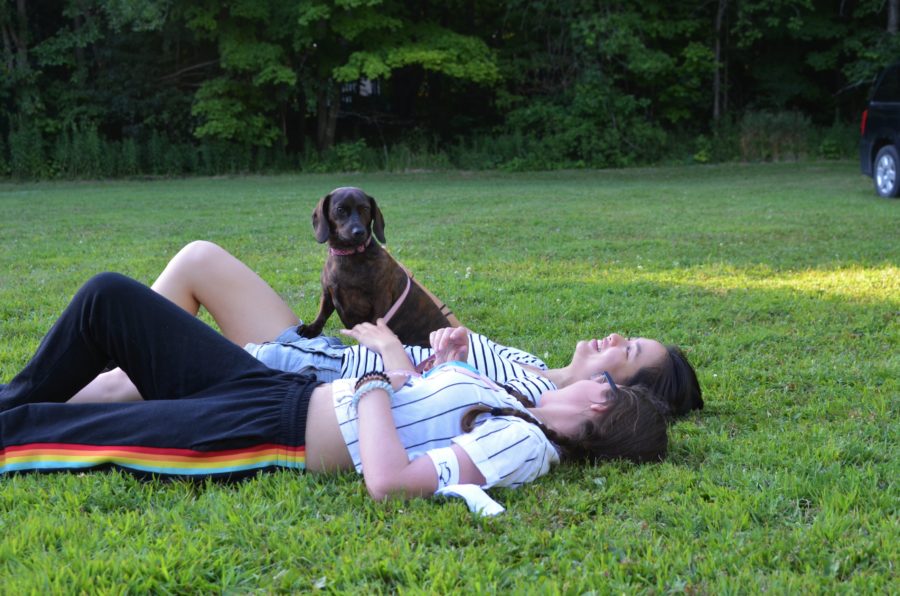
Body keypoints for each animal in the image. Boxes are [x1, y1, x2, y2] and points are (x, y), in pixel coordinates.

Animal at [298, 185, 458, 344]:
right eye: (340, 209)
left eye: (365, 209)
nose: (359, 232)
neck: (349, 256)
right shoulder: (328, 293)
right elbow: (322, 314)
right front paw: (312, 329)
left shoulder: (381, 301)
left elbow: (375, 323)